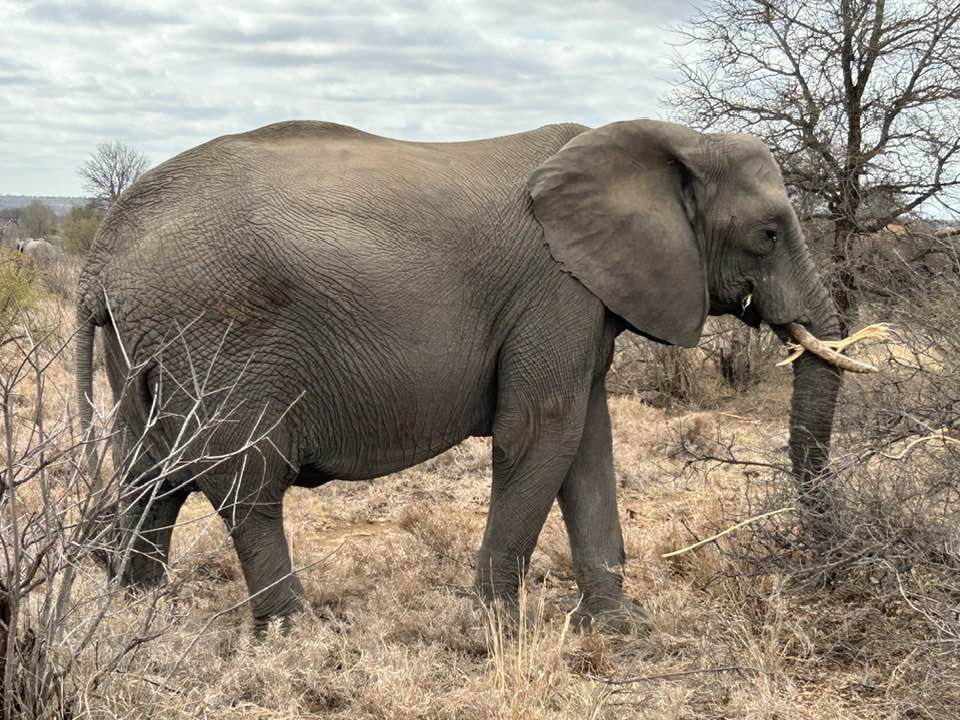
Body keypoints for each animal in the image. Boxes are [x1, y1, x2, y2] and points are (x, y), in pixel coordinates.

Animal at [76, 119, 849, 633]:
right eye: (769, 233)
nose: (821, 570)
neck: (672, 143)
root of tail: (102, 252)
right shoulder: (554, 290)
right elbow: (540, 433)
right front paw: (497, 627)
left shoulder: (581, 298)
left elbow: (586, 442)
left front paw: (621, 628)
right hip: (220, 339)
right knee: (243, 484)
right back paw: (299, 634)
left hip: (147, 346)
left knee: (152, 474)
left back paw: (138, 614)